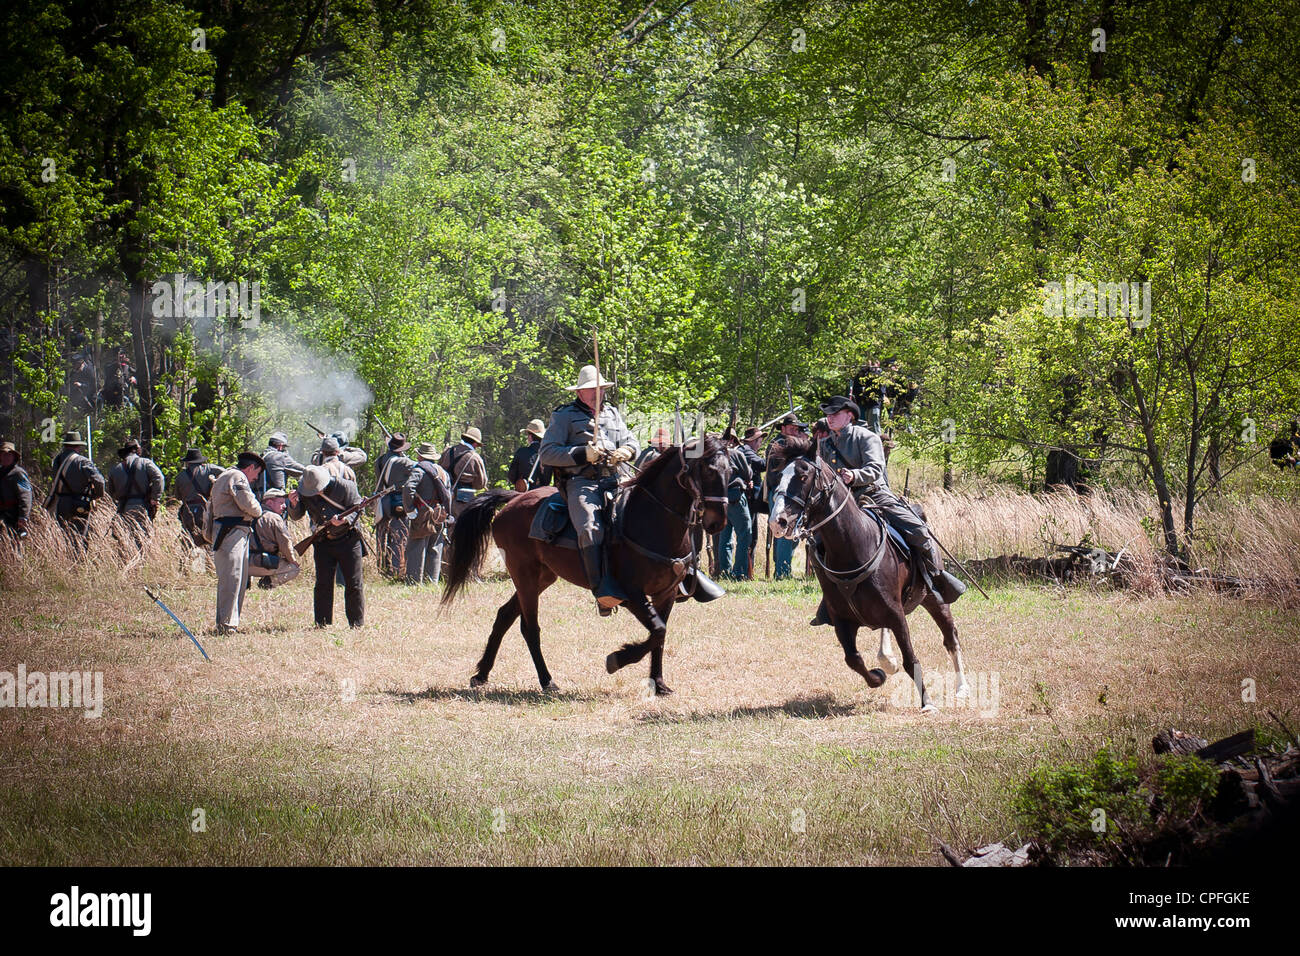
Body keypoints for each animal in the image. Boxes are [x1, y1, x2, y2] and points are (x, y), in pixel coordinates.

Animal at [441, 439, 733, 697]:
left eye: (730, 470)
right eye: (707, 469)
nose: (717, 522)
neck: (649, 519)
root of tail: (514, 499)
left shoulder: (666, 594)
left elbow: (659, 636)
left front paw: (659, 684)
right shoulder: (632, 595)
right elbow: (658, 631)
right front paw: (618, 659)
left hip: (540, 578)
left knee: (504, 615)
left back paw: (481, 674)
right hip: (525, 576)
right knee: (530, 628)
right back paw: (547, 681)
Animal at [764, 434, 972, 712]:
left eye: (804, 474)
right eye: (778, 475)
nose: (778, 522)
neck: (853, 547)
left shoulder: (897, 615)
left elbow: (910, 659)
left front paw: (927, 702)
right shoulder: (842, 621)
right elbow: (853, 659)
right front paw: (879, 675)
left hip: (934, 599)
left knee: (951, 638)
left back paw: (962, 688)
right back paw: (887, 660)